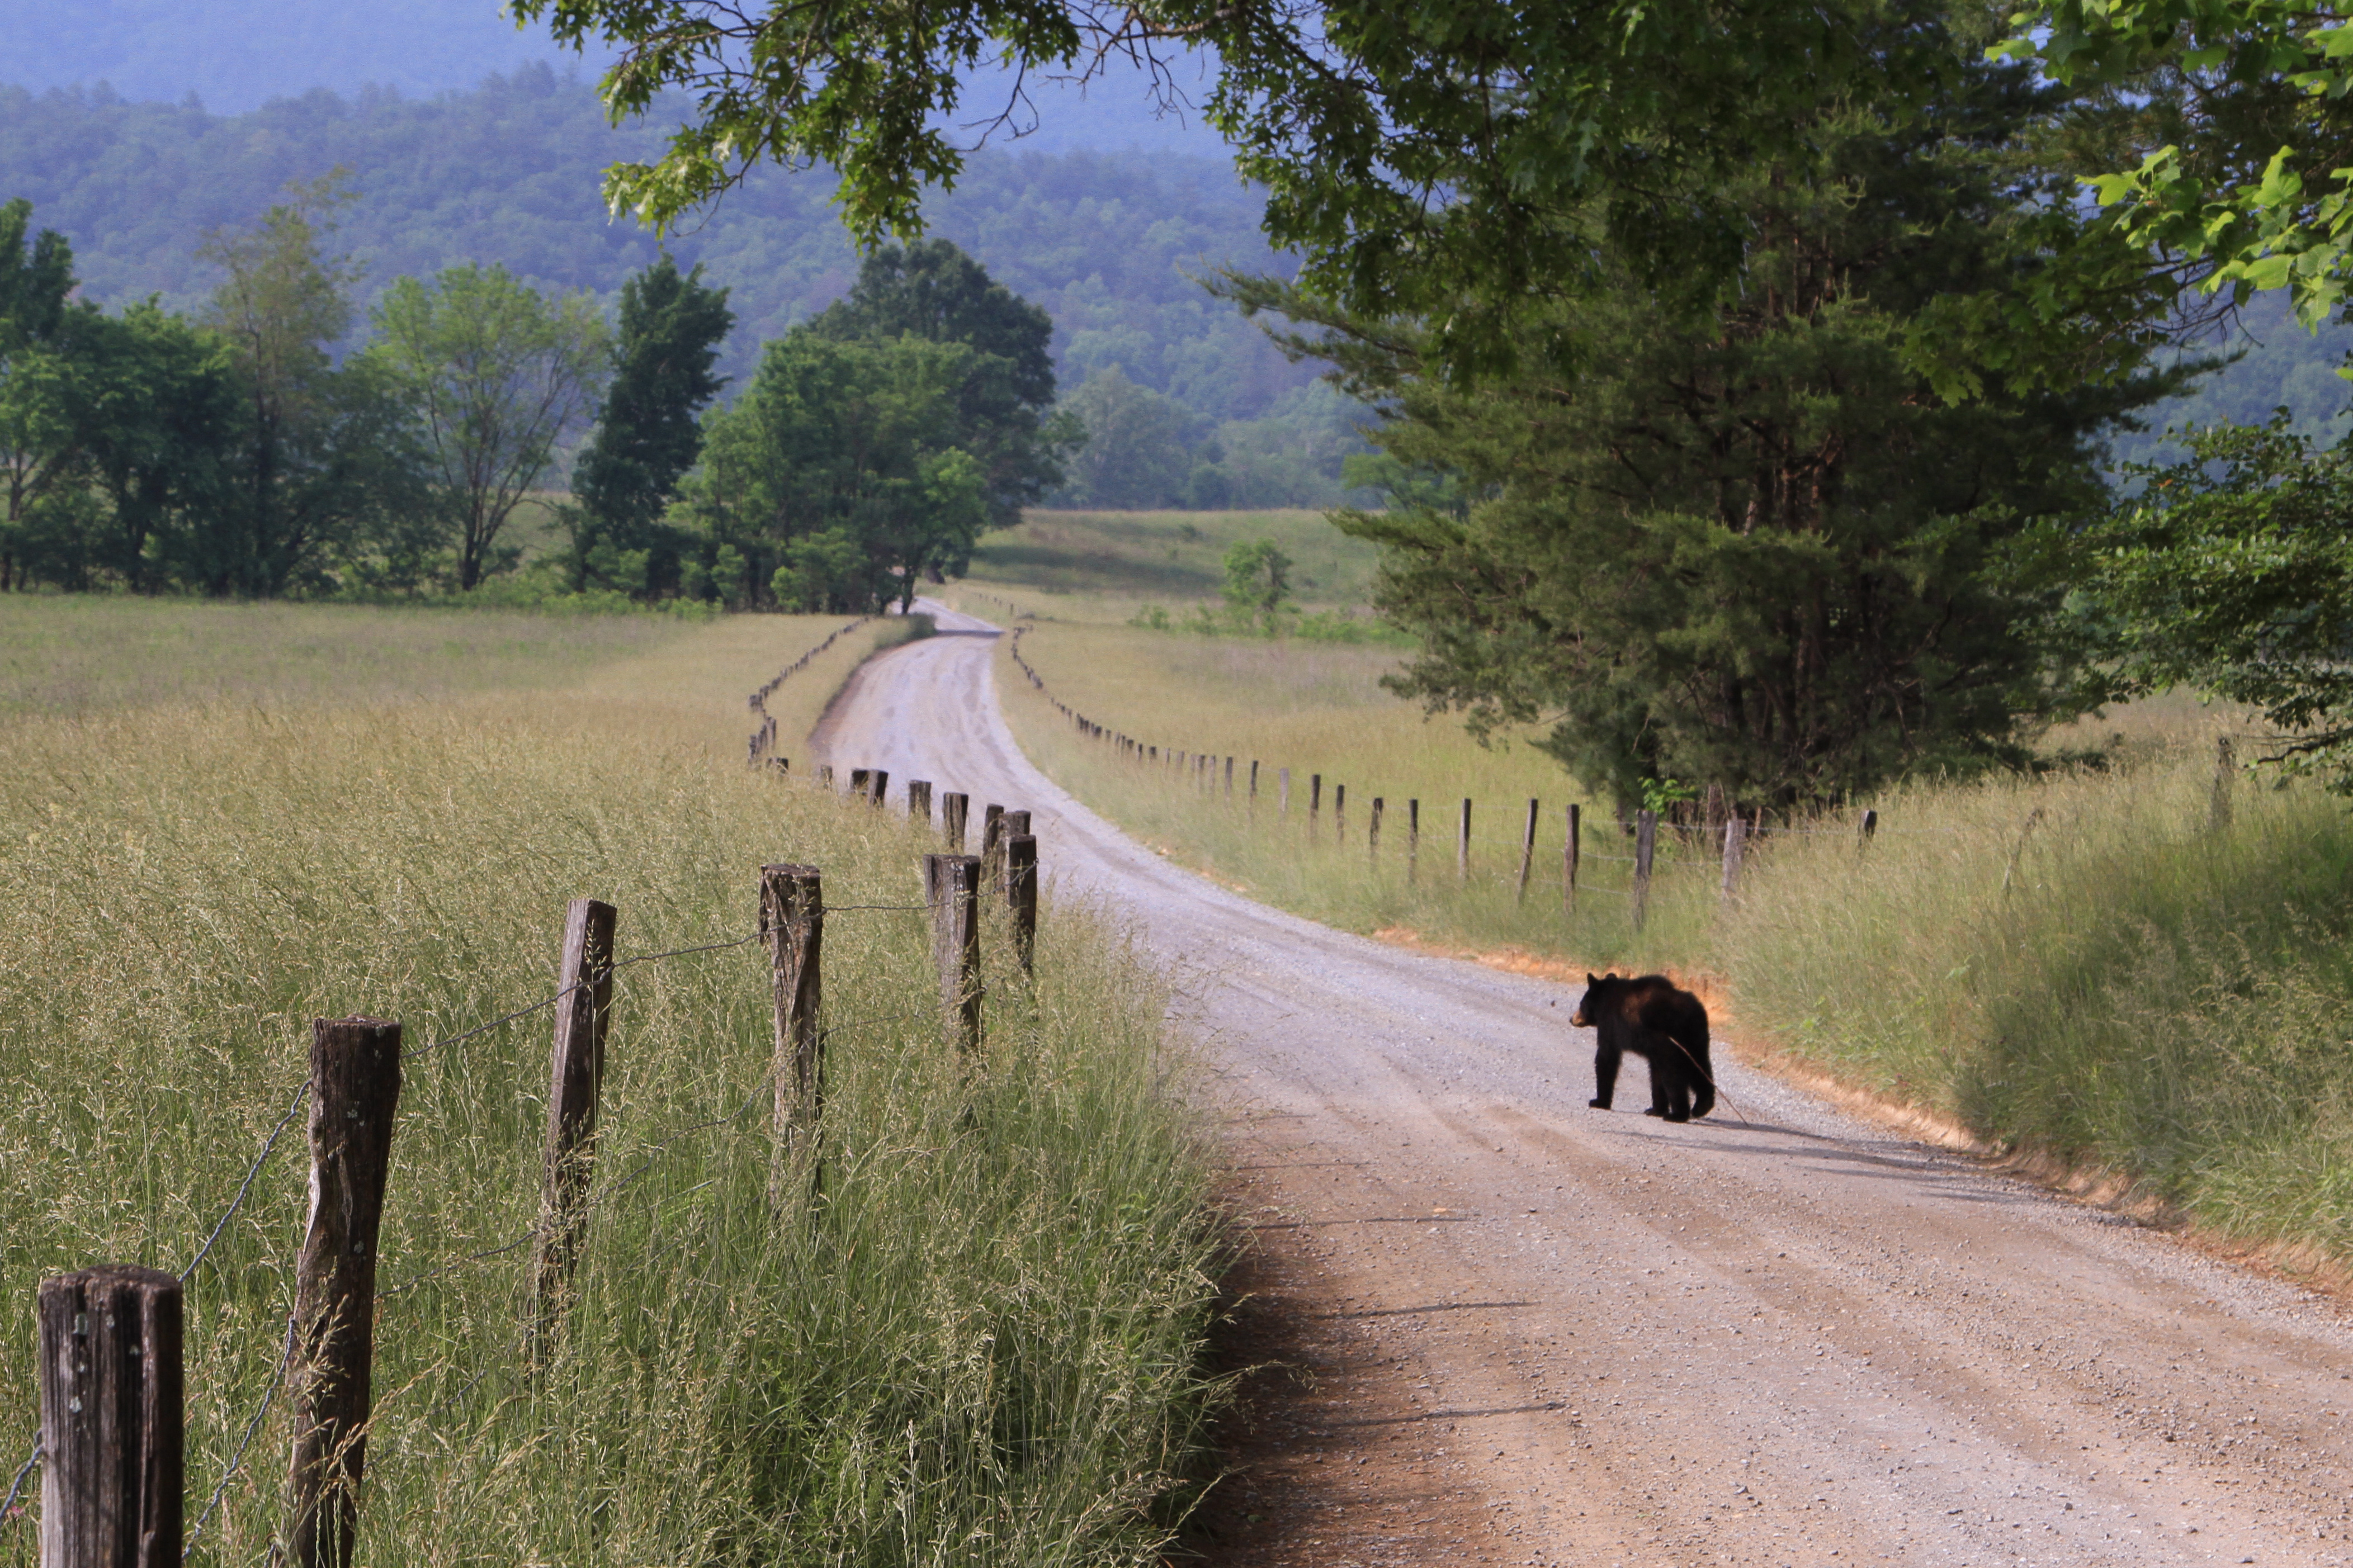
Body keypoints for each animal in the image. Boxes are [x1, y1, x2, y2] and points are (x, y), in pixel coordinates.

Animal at [1571, 973, 1722, 1124]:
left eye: (1581, 1004)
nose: (1572, 1019)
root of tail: (1689, 1013)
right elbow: (1656, 1074)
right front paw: (1656, 1110)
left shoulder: (1610, 1025)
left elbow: (1606, 1057)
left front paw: (1599, 1102)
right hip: (1696, 1037)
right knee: (1700, 1065)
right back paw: (1702, 1106)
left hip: (1669, 1038)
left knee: (1674, 1075)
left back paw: (1678, 1115)